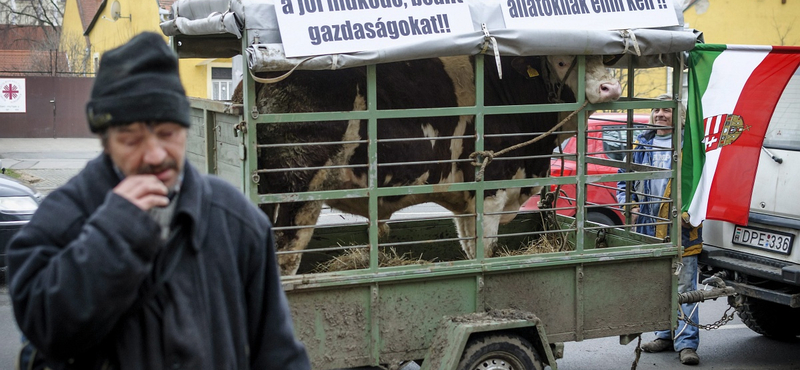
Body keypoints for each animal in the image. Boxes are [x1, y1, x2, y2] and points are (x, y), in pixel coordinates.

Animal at [241, 55, 620, 274]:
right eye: (561, 61)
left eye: (603, 57)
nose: (611, 87)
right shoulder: (492, 189)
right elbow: (486, 249)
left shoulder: (468, 201)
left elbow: (469, 248)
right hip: (293, 193)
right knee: (285, 258)